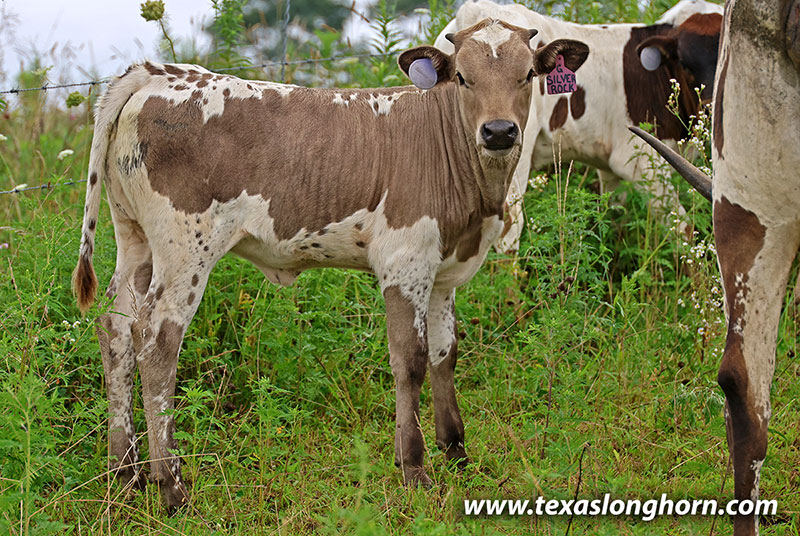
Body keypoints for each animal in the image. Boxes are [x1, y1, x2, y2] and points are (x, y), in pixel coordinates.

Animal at [72, 19, 589, 509]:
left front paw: (456, 452)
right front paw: (414, 468)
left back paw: (125, 474)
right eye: (462, 76)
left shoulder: (443, 274)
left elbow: (446, 355)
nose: (499, 131)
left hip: (135, 239)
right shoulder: (405, 262)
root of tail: (159, 73)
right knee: (156, 340)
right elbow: (411, 360)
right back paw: (172, 488)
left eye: (528, 75)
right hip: (185, 246)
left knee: (115, 328)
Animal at [434, 0, 722, 253]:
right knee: (508, 232)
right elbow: (684, 231)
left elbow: (613, 220)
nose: (712, 109)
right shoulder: (640, 162)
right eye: (684, 63)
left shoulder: (610, 169)